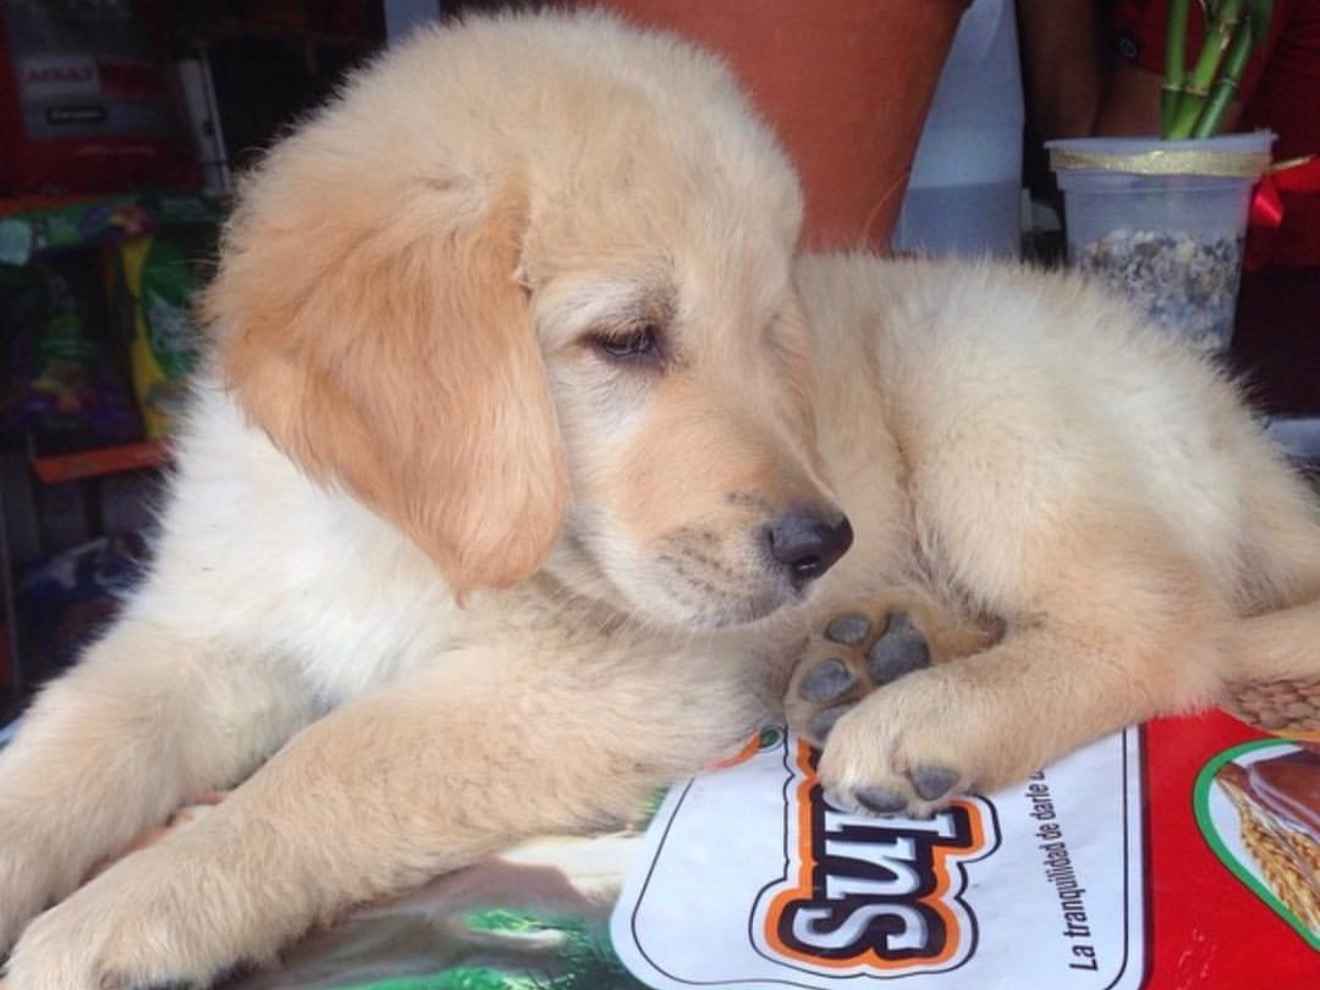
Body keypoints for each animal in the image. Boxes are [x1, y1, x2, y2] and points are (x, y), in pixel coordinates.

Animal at [2, 8, 1319, 989]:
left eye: (770, 334)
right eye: (628, 339)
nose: (824, 542)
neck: (395, 537)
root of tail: (1226, 411)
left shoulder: (603, 685)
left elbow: (335, 757)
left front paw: (129, 906)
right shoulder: (204, 632)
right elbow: (72, 740)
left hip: (981, 377)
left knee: (1168, 627)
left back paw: (929, 716)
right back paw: (875, 649)